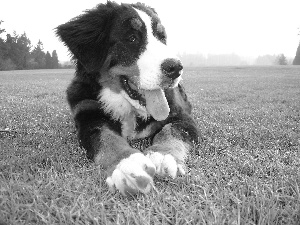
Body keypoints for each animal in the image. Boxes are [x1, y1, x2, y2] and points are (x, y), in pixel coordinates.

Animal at [55, 1, 199, 195]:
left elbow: (172, 131)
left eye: (161, 38)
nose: (175, 67)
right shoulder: (88, 113)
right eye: (131, 38)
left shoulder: (181, 115)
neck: (128, 106)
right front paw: (128, 165)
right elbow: (106, 137)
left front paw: (162, 155)